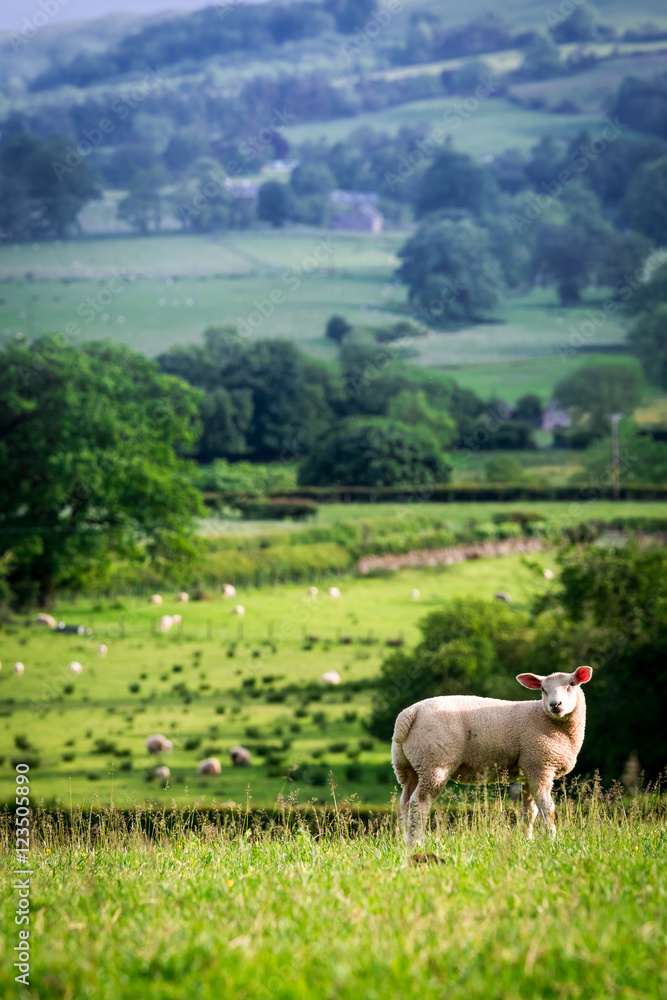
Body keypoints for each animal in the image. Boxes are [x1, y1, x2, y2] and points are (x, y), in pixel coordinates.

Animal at [391, 665, 593, 846]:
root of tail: (409, 714)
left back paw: (405, 842)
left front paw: (527, 841)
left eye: (572, 684)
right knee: (419, 803)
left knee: (405, 802)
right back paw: (417, 843)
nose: (555, 705)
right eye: (543, 689)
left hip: (408, 766)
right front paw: (552, 839)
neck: (546, 719)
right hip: (435, 764)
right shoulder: (540, 766)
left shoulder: (530, 769)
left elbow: (529, 811)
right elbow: (547, 808)